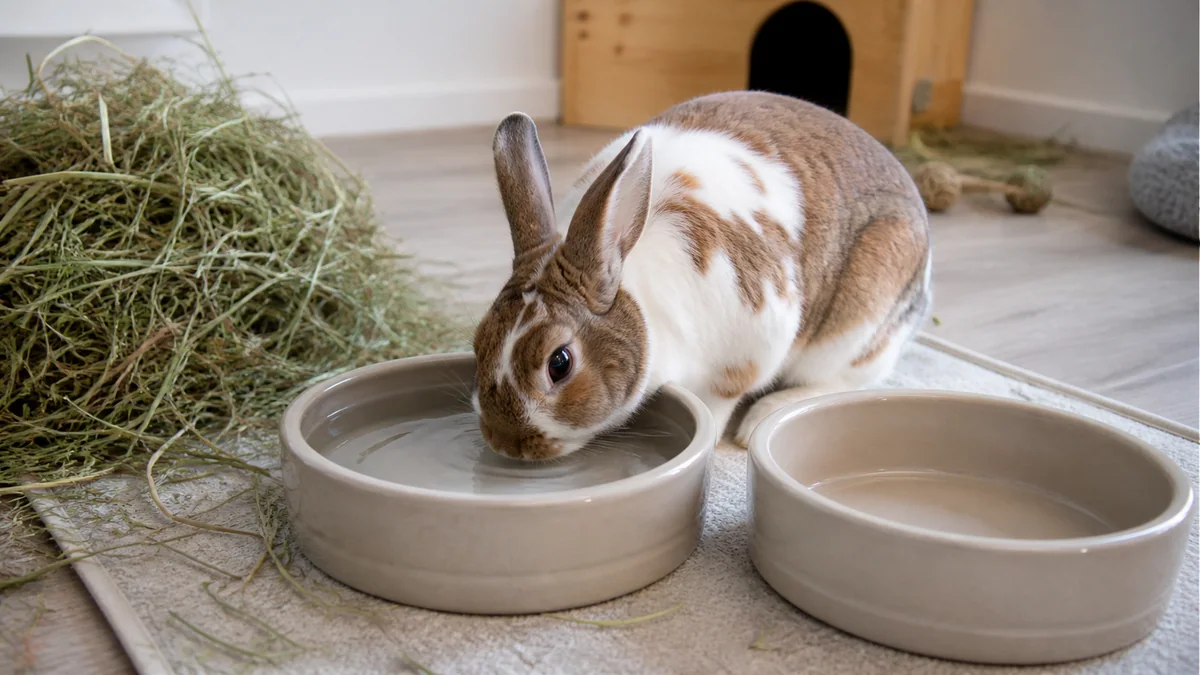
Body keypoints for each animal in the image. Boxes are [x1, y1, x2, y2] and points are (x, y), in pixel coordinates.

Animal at [472, 91, 931, 460]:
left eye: (560, 363)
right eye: (478, 342)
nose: (505, 442)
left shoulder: (746, 354)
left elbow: (717, 404)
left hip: (856, 329)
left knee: (846, 381)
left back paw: (761, 419)